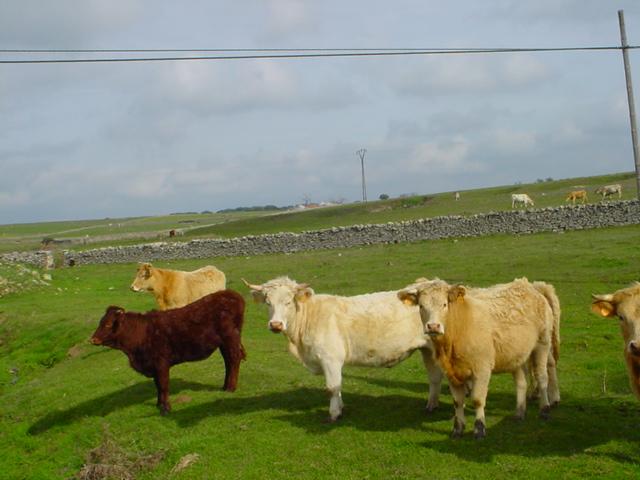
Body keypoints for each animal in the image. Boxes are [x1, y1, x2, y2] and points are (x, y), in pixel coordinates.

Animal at [91, 290, 246, 414]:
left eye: (108, 324)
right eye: (100, 322)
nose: (93, 339)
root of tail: (232, 294)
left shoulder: (161, 364)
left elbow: (163, 385)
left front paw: (166, 408)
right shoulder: (154, 366)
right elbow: (158, 386)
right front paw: (158, 404)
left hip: (230, 339)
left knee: (234, 359)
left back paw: (231, 388)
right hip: (223, 343)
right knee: (228, 361)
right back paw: (225, 386)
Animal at [242, 276, 442, 422]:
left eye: (289, 302)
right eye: (268, 302)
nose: (275, 324)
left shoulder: (330, 358)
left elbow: (331, 387)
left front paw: (333, 414)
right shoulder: (330, 362)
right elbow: (337, 386)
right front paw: (341, 407)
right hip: (428, 350)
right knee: (434, 378)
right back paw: (431, 406)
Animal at [398, 278, 556, 438]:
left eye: (444, 304)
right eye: (421, 306)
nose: (433, 326)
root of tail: (530, 286)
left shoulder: (481, 370)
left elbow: (478, 400)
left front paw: (479, 429)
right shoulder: (451, 372)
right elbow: (457, 401)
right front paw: (458, 429)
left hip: (542, 344)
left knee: (542, 377)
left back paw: (544, 409)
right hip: (516, 355)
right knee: (521, 383)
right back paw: (519, 413)